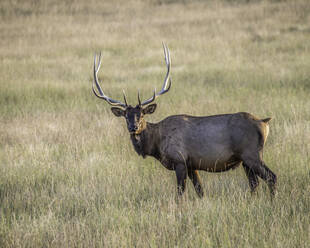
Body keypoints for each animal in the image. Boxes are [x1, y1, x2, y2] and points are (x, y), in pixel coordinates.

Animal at [91, 43, 278, 198]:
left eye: (142, 115)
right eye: (126, 116)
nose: (133, 127)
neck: (157, 144)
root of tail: (264, 122)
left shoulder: (179, 160)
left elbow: (180, 194)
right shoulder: (192, 165)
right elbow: (200, 191)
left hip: (252, 154)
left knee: (272, 177)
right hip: (245, 160)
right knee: (254, 184)